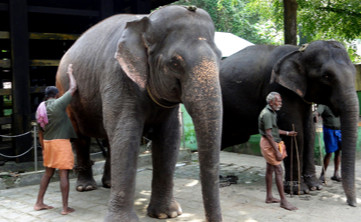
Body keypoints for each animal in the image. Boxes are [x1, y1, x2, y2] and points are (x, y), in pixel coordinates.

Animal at [56, 5, 222, 222]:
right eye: (174, 63)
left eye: (220, 57)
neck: (146, 21)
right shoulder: (117, 74)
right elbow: (127, 133)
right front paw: (122, 220)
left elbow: (169, 137)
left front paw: (166, 214)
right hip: (67, 94)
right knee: (81, 138)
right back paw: (86, 187)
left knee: (110, 138)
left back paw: (109, 184)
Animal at [219, 40, 358, 207]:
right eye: (326, 76)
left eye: (354, 72)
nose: (353, 203)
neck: (299, 52)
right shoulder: (279, 88)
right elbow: (297, 132)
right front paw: (300, 190)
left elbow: (309, 132)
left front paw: (315, 186)